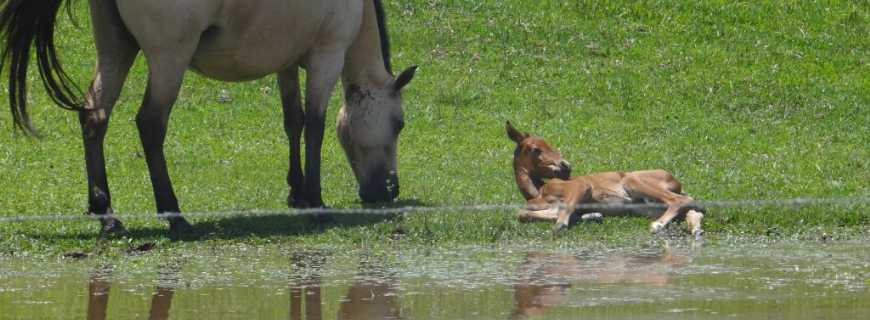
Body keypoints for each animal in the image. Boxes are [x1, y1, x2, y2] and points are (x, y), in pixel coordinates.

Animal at [0, 0, 418, 235]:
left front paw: (297, 192)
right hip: (169, 59)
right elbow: (314, 126)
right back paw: (175, 216)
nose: (388, 191)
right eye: (399, 124)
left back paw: (106, 214)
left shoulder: (285, 62)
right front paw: (316, 203)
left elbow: (293, 121)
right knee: (150, 125)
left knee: (94, 117)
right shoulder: (325, 58)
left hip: (116, 50)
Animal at [508, 122, 704, 238]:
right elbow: (522, 213)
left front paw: (562, 224)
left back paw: (658, 225)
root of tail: (676, 181)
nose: (566, 166)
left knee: (679, 200)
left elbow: (564, 208)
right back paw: (695, 229)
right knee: (691, 205)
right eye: (535, 149)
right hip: (648, 206)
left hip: (633, 182)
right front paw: (591, 215)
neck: (537, 192)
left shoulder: (581, 185)